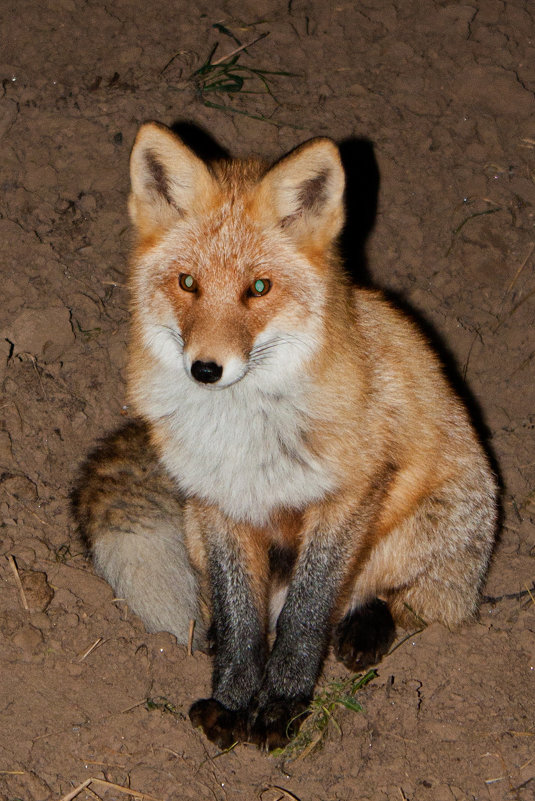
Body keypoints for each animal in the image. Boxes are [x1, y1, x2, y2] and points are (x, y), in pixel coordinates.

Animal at [71, 123, 498, 752]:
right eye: (188, 283)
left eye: (259, 288)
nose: (205, 369)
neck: (243, 435)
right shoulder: (220, 505)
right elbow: (241, 620)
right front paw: (233, 700)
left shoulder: (349, 494)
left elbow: (304, 617)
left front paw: (280, 707)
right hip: (193, 527)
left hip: (427, 532)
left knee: (405, 601)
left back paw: (367, 630)